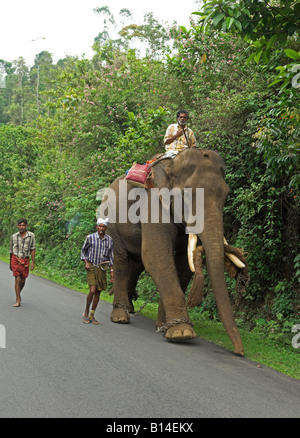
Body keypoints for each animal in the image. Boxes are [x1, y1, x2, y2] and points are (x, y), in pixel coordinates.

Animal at [101, 147, 248, 356]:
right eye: (187, 194)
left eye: (226, 194)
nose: (239, 352)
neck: (172, 165)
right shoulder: (153, 204)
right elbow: (155, 256)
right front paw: (182, 333)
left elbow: (182, 264)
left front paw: (164, 327)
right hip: (111, 222)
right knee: (121, 262)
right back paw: (121, 317)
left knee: (136, 264)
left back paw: (130, 309)